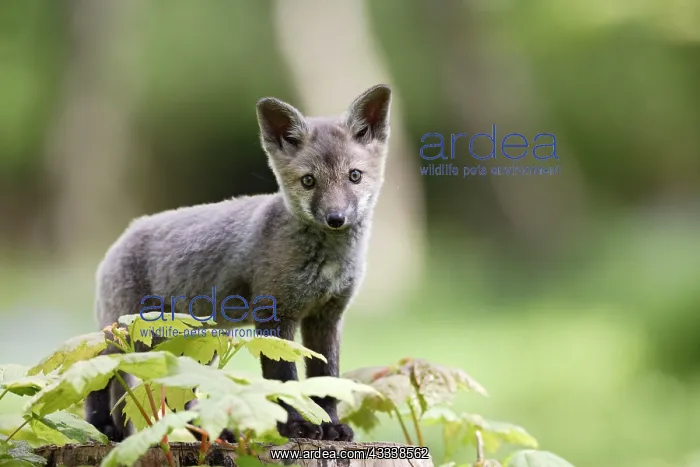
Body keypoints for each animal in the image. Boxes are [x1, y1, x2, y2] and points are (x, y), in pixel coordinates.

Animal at [84, 84, 392, 443]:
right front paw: (296, 426)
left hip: (192, 346)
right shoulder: (274, 315)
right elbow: (283, 378)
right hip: (128, 335)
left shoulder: (326, 317)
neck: (327, 262)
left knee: (180, 398)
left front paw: (329, 425)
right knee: (98, 370)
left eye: (354, 176)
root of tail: (126, 232)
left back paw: (212, 432)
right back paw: (102, 425)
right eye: (309, 181)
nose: (336, 218)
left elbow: (326, 379)